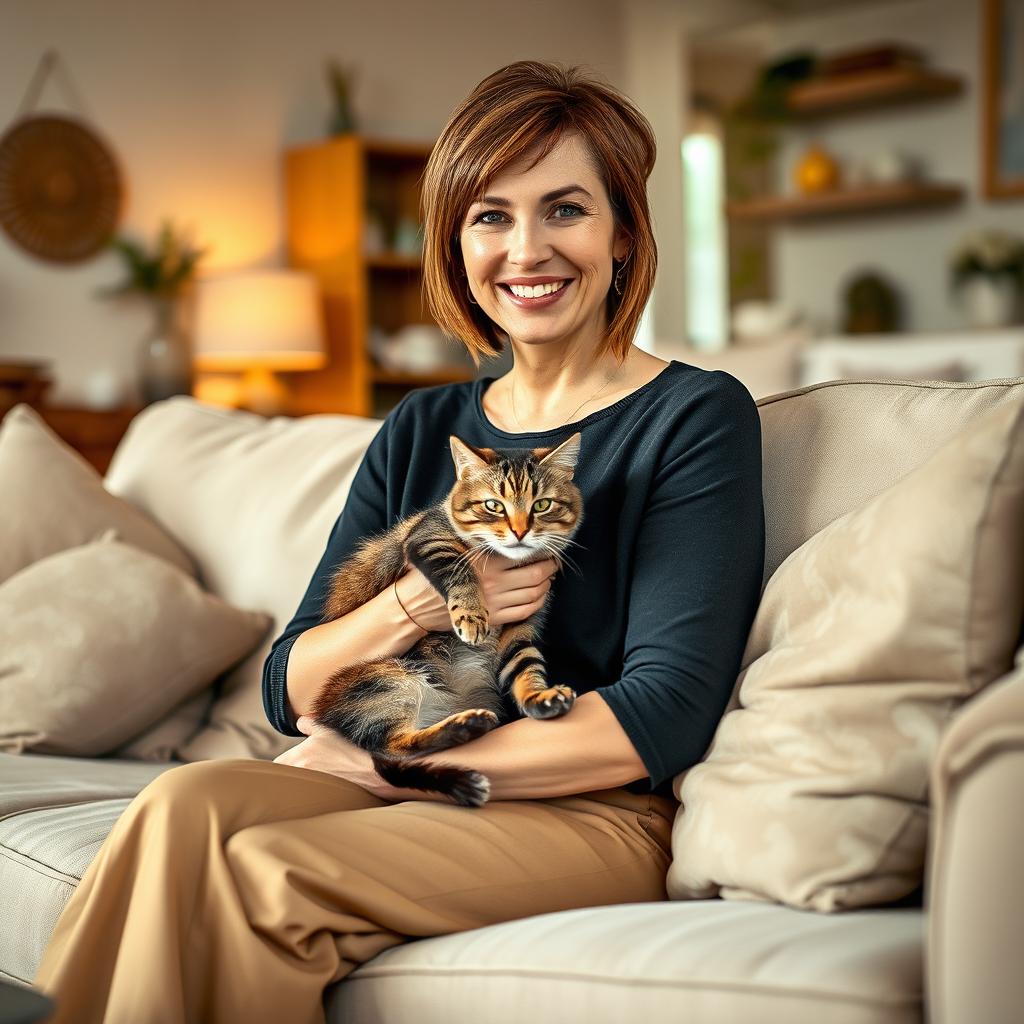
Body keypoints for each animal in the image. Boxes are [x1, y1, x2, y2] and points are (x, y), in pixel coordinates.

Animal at [309, 428, 585, 802]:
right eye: (493, 506)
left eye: (541, 505)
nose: (519, 532)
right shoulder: (429, 538)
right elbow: (460, 571)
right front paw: (471, 615)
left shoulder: (520, 627)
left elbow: (525, 666)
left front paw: (539, 696)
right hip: (386, 679)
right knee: (394, 745)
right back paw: (463, 727)